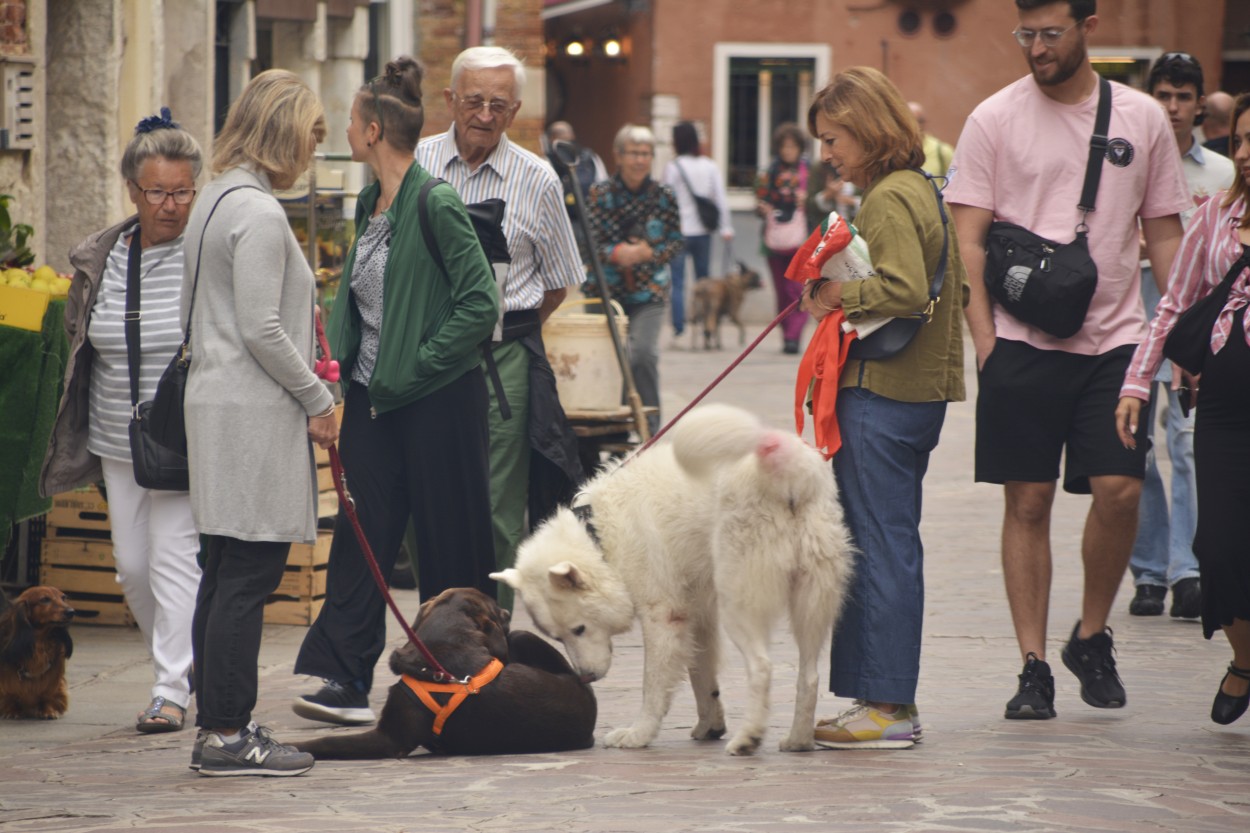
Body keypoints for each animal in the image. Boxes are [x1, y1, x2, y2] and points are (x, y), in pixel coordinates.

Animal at [0, 582, 79, 715]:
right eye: (45, 599)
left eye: (63, 597)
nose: (71, 612)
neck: (39, 642)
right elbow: (9, 694)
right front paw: (11, 710)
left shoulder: (54, 679)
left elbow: (49, 695)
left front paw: (49, 710)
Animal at [492, 402, 855, 750]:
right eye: (558, 637)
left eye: (579, 629)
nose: (586, 678)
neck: (599, 536)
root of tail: (784, 470)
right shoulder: (698, 616)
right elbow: (702, 677)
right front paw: (710, 725)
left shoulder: (663, 618)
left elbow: (653, 686)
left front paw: (638, 734)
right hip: (811, 604)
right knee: (809, 677)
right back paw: (798, 741)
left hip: (739, 603)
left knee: (763, 666)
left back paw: (747, 739)